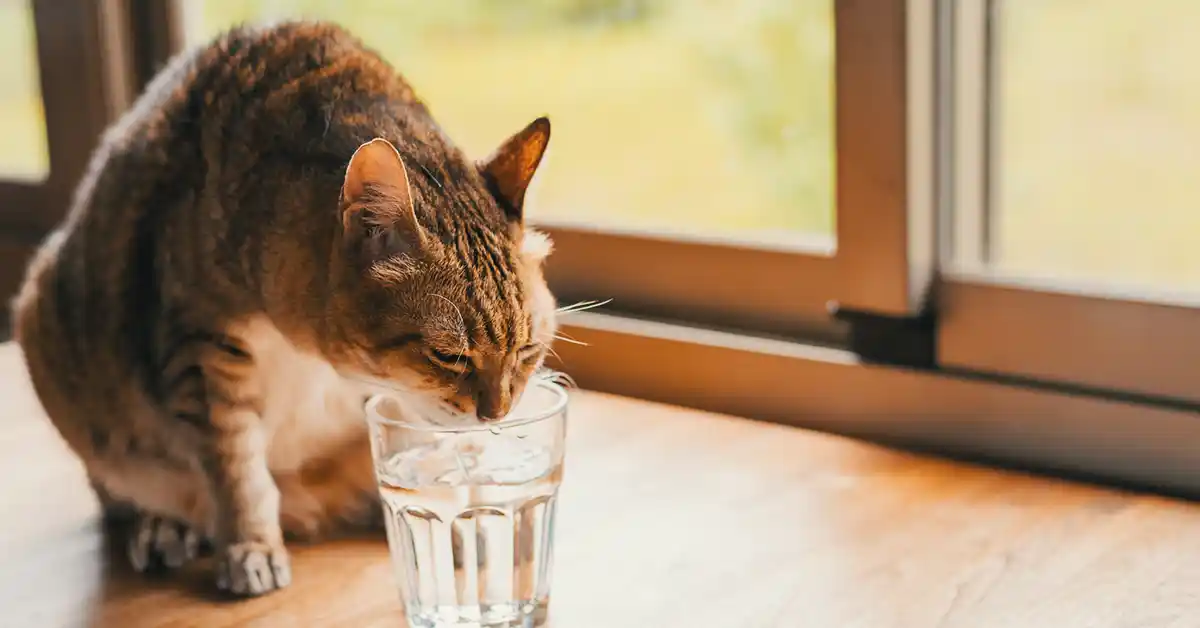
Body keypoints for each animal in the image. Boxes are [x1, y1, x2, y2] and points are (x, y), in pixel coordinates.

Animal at [10, 20, 561, 600]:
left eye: (528, 350)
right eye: (448, 355)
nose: (497, 415)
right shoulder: (202, 353)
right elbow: (237, 470)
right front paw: (250, 546)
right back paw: (166, 524)